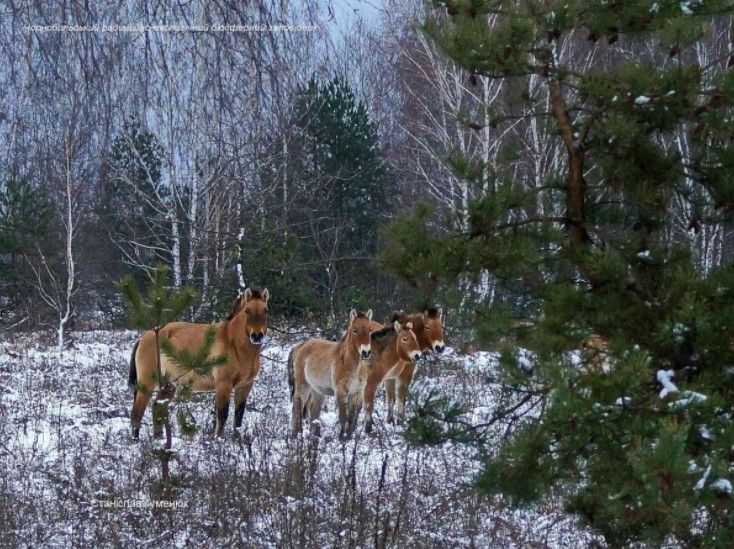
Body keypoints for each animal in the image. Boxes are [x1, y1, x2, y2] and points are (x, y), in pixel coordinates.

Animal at [129, 286, 270, 436]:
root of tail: (144, 337)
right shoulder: (223, 385)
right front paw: (218, 440)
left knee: (157, 409)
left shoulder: (244, 386)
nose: (257, 336)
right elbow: (222, 416)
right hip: (147, 384)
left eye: (265, 310)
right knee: (137, 415)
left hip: (168, 385)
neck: (233, 344)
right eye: (247, 310)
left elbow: (238, 418)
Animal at [288, 308, 374, 436]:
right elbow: (343, 417)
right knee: (297, 405)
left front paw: (348, 438)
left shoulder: (356, 393)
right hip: (303, 386)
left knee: (314, 413)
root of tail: (301, 346)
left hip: (317, 391)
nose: (366, 352)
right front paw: (341, 438)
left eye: (370, 329)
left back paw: (315, 436)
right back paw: (296, 435)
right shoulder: (340, 392)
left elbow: (351, 418)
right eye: (355, 330)